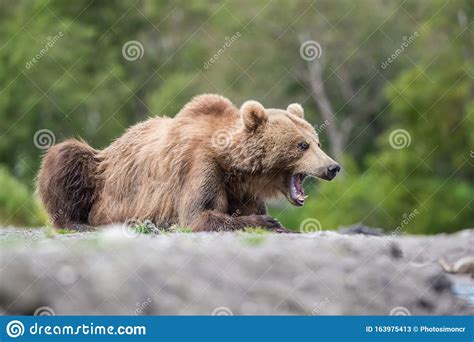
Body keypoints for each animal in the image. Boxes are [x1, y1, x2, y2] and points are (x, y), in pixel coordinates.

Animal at [38, 93, 340, 232]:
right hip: (100, 174)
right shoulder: (201, 166)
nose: (333, 167)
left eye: (317, 142)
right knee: (66, 156)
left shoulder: (243, 189)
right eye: (302, 145)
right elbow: (199, 215)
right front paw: (268, 222)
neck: (236, 168)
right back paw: (79, 222)